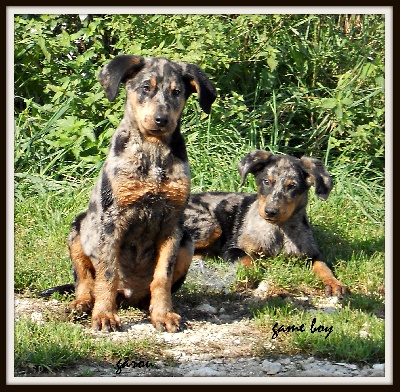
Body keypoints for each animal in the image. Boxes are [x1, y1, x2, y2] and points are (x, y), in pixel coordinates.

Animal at [40, 55, 216, 330]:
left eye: (176, 92)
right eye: (145, 87)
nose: (161, 119)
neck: (153, 151)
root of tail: (129, 295)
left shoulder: (172, 225)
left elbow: (162, 277)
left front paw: (163, 315)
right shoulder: (111, 220)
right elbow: (107, 274)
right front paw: (104, 316)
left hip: (187, 243)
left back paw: (149, 307)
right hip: (78, 230)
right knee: (85, 281)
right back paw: (83, 305)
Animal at [184, 149, 346, 298]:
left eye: (292, 186)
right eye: (266, 182)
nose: (270, 211)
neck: (279, 230)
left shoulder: (313, 253)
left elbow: (323, 267)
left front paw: (334, 283)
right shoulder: (231, 248)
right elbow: (248, 260)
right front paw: (250, 276)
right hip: (211, 226)